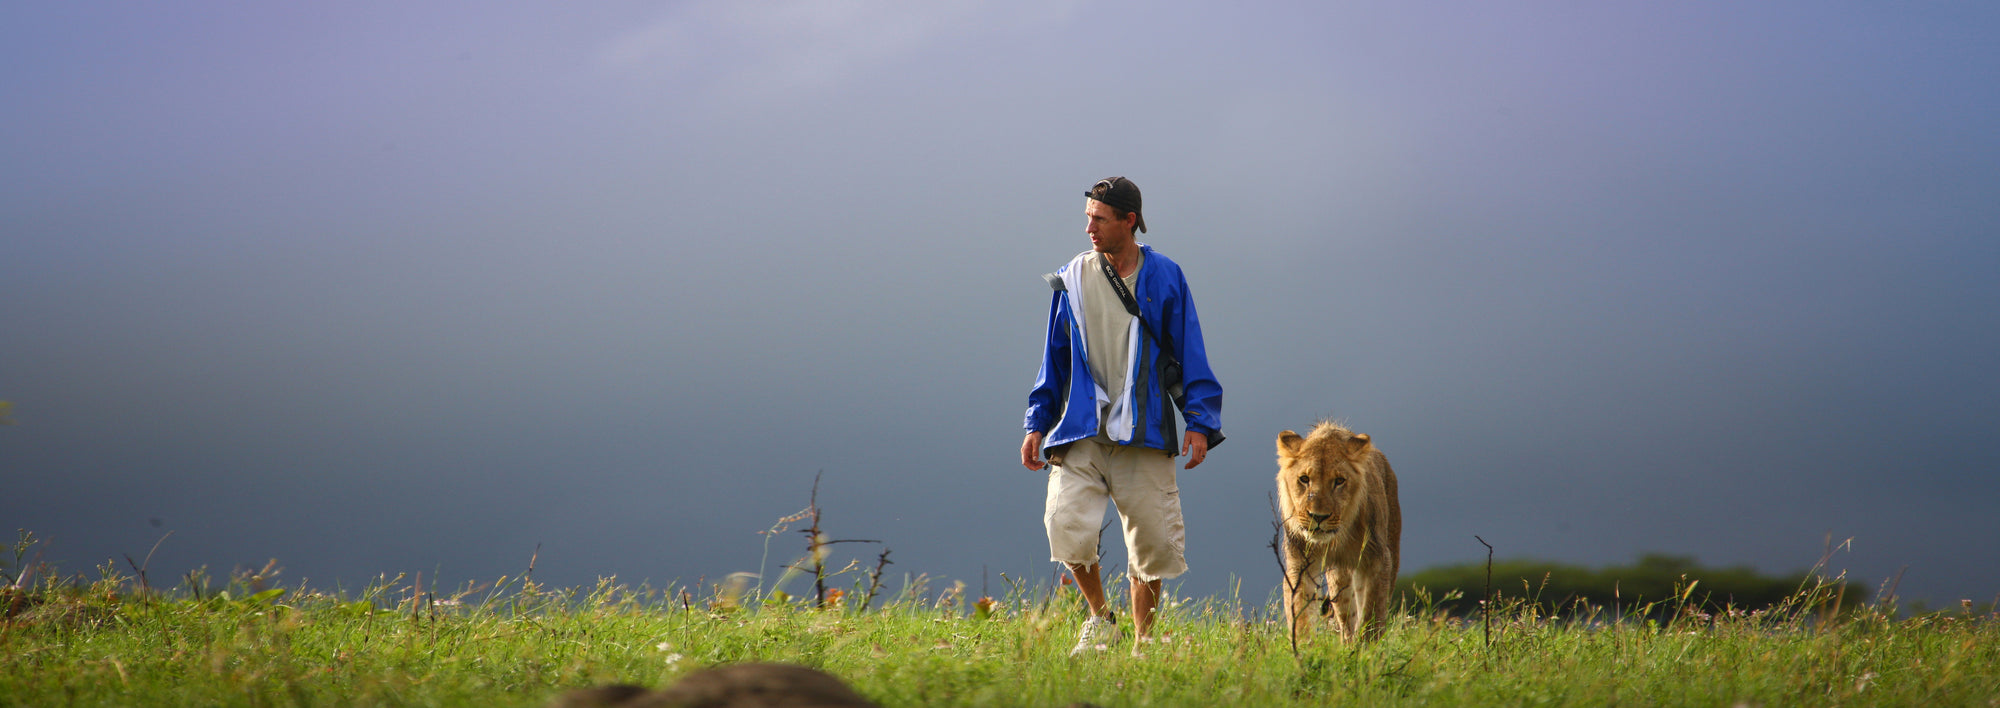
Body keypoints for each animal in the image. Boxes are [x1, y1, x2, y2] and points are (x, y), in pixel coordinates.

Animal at [1276, 421, 1401, 643]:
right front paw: (1303, 647)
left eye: (1339, 481)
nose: (1318, 517)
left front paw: (1368, 648)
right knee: (1345, 617)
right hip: (1338, 577)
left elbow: (1372, 612)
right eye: (1304, 479)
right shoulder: (1300, 562)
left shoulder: (1378, 559)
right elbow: (1300, 613)